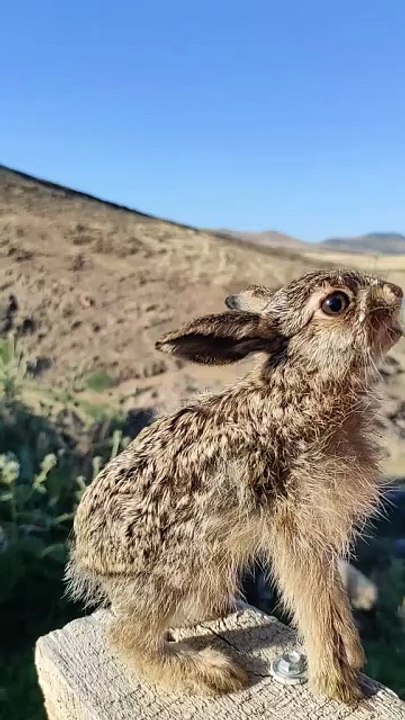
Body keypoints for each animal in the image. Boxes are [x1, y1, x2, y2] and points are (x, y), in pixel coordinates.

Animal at [66, 268, 403, 704]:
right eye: (335, 303)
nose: (396, 292)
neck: (304, 388)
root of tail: (86, 559)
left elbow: (330, 599)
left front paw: (350, 661)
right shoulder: (297, 530)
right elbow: (314, 601)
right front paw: (339, 683)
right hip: (173, 573)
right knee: (127, 638)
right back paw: (212, 672)